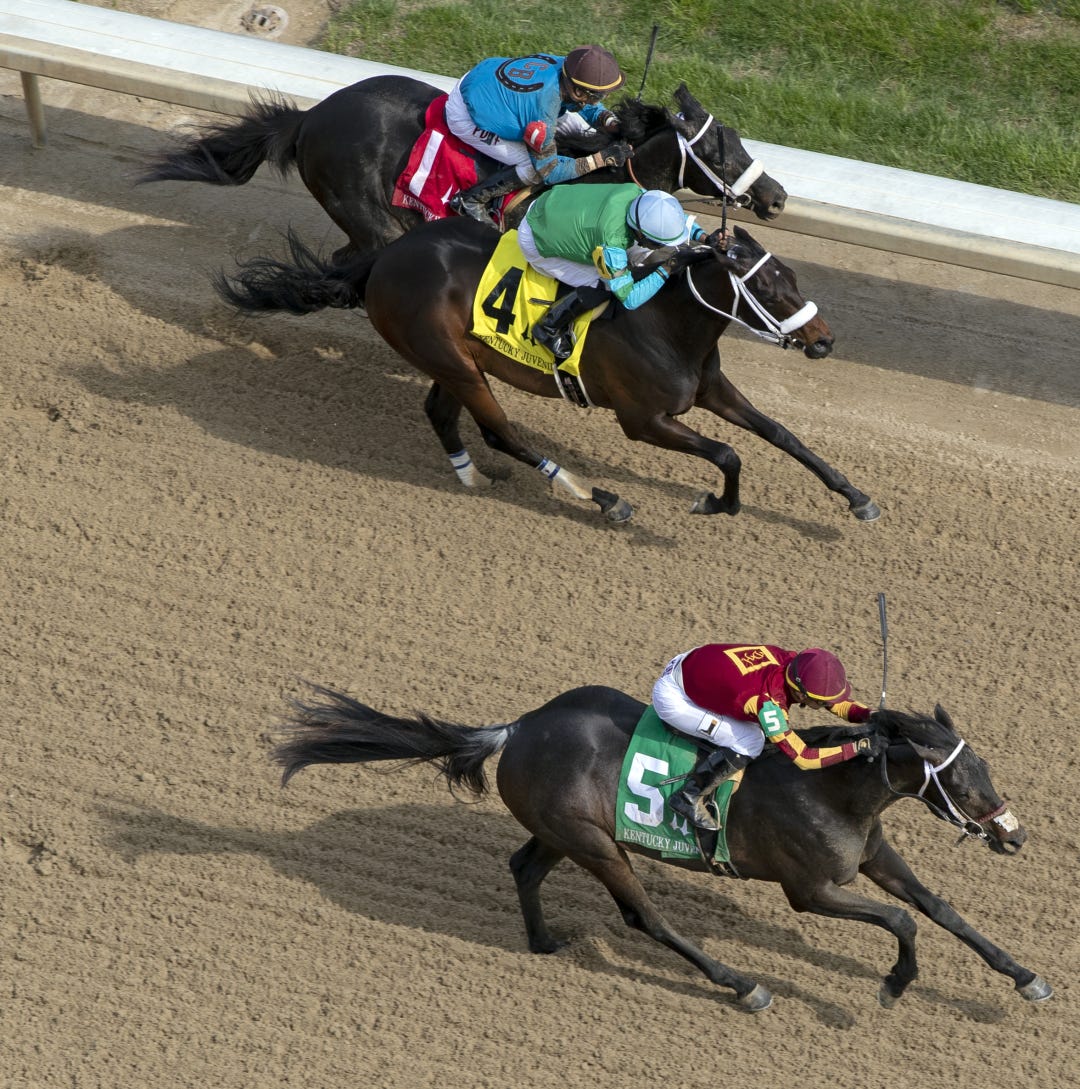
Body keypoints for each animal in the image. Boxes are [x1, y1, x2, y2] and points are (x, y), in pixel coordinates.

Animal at [214, 217, 881, 524]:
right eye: (767, 286)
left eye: (793, 277)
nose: (824, 341)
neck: (665, 323)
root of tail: (383, 257)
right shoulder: (642, 420)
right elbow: (728, 454)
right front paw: (717, 504)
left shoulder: (709, 389)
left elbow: (781, 435)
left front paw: (856, 498)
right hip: (453, 361)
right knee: (500, 432)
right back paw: (597, 496)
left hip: (453, 361)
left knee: (442, 414)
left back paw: (470, 477)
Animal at [272, 682, 1052, 1010]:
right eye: (962, 777)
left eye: (985, 768)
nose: (1014, 834)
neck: (830, 786)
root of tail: (517, 727)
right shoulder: (811, 889)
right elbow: (901, 921)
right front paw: (893, 985)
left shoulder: (868, 856)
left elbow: (940, 909)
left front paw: (1025, 977)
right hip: (597, 845)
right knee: (644, 916)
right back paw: (742, 983)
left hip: (564, 832)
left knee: (523, 866)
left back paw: (544, 941)